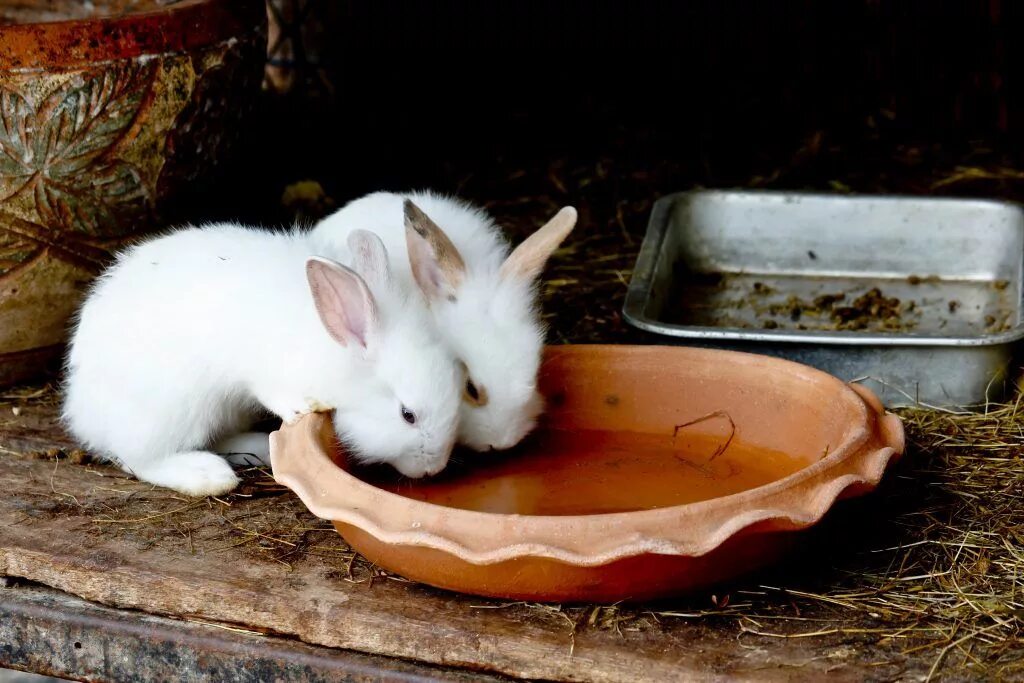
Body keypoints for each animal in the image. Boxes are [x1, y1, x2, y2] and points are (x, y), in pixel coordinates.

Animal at [62, 224, 460, 497]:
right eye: (407, 415)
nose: (435, 467)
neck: (335, 350)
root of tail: (80, 408)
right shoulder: (269, 372)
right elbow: (274, 392)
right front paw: (302, 409)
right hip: (174, 410)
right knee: (141, 458)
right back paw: (208, 476)